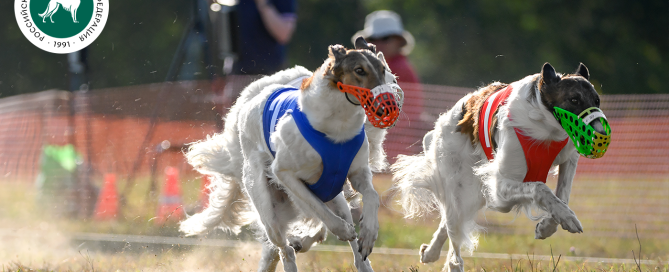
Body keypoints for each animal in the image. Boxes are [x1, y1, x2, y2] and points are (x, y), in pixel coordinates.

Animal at [177, 38, 404, 272]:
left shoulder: (355, 174)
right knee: (283, 249)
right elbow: (318, 210)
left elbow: (371, 197)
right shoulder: (285, 174)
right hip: (268, 210)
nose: (390, 106)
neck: (336, 131)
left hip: (331, 199)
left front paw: (368, 233)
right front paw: (337, 231)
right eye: (359, 70)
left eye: (389, 75)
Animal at [392, 63, 612, 272]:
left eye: (597, 101)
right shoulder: (500, 190)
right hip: (461, 187)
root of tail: (446, 119)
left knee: (447, 223)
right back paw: (451, 262)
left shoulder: (568, 157)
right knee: (454, 245)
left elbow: (562, 195)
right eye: (574, 100)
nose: (601, 137)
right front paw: (565, 217)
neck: (544, 126)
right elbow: (540, 188)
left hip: (474, 192)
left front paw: (548, 226)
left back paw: (430, 252)